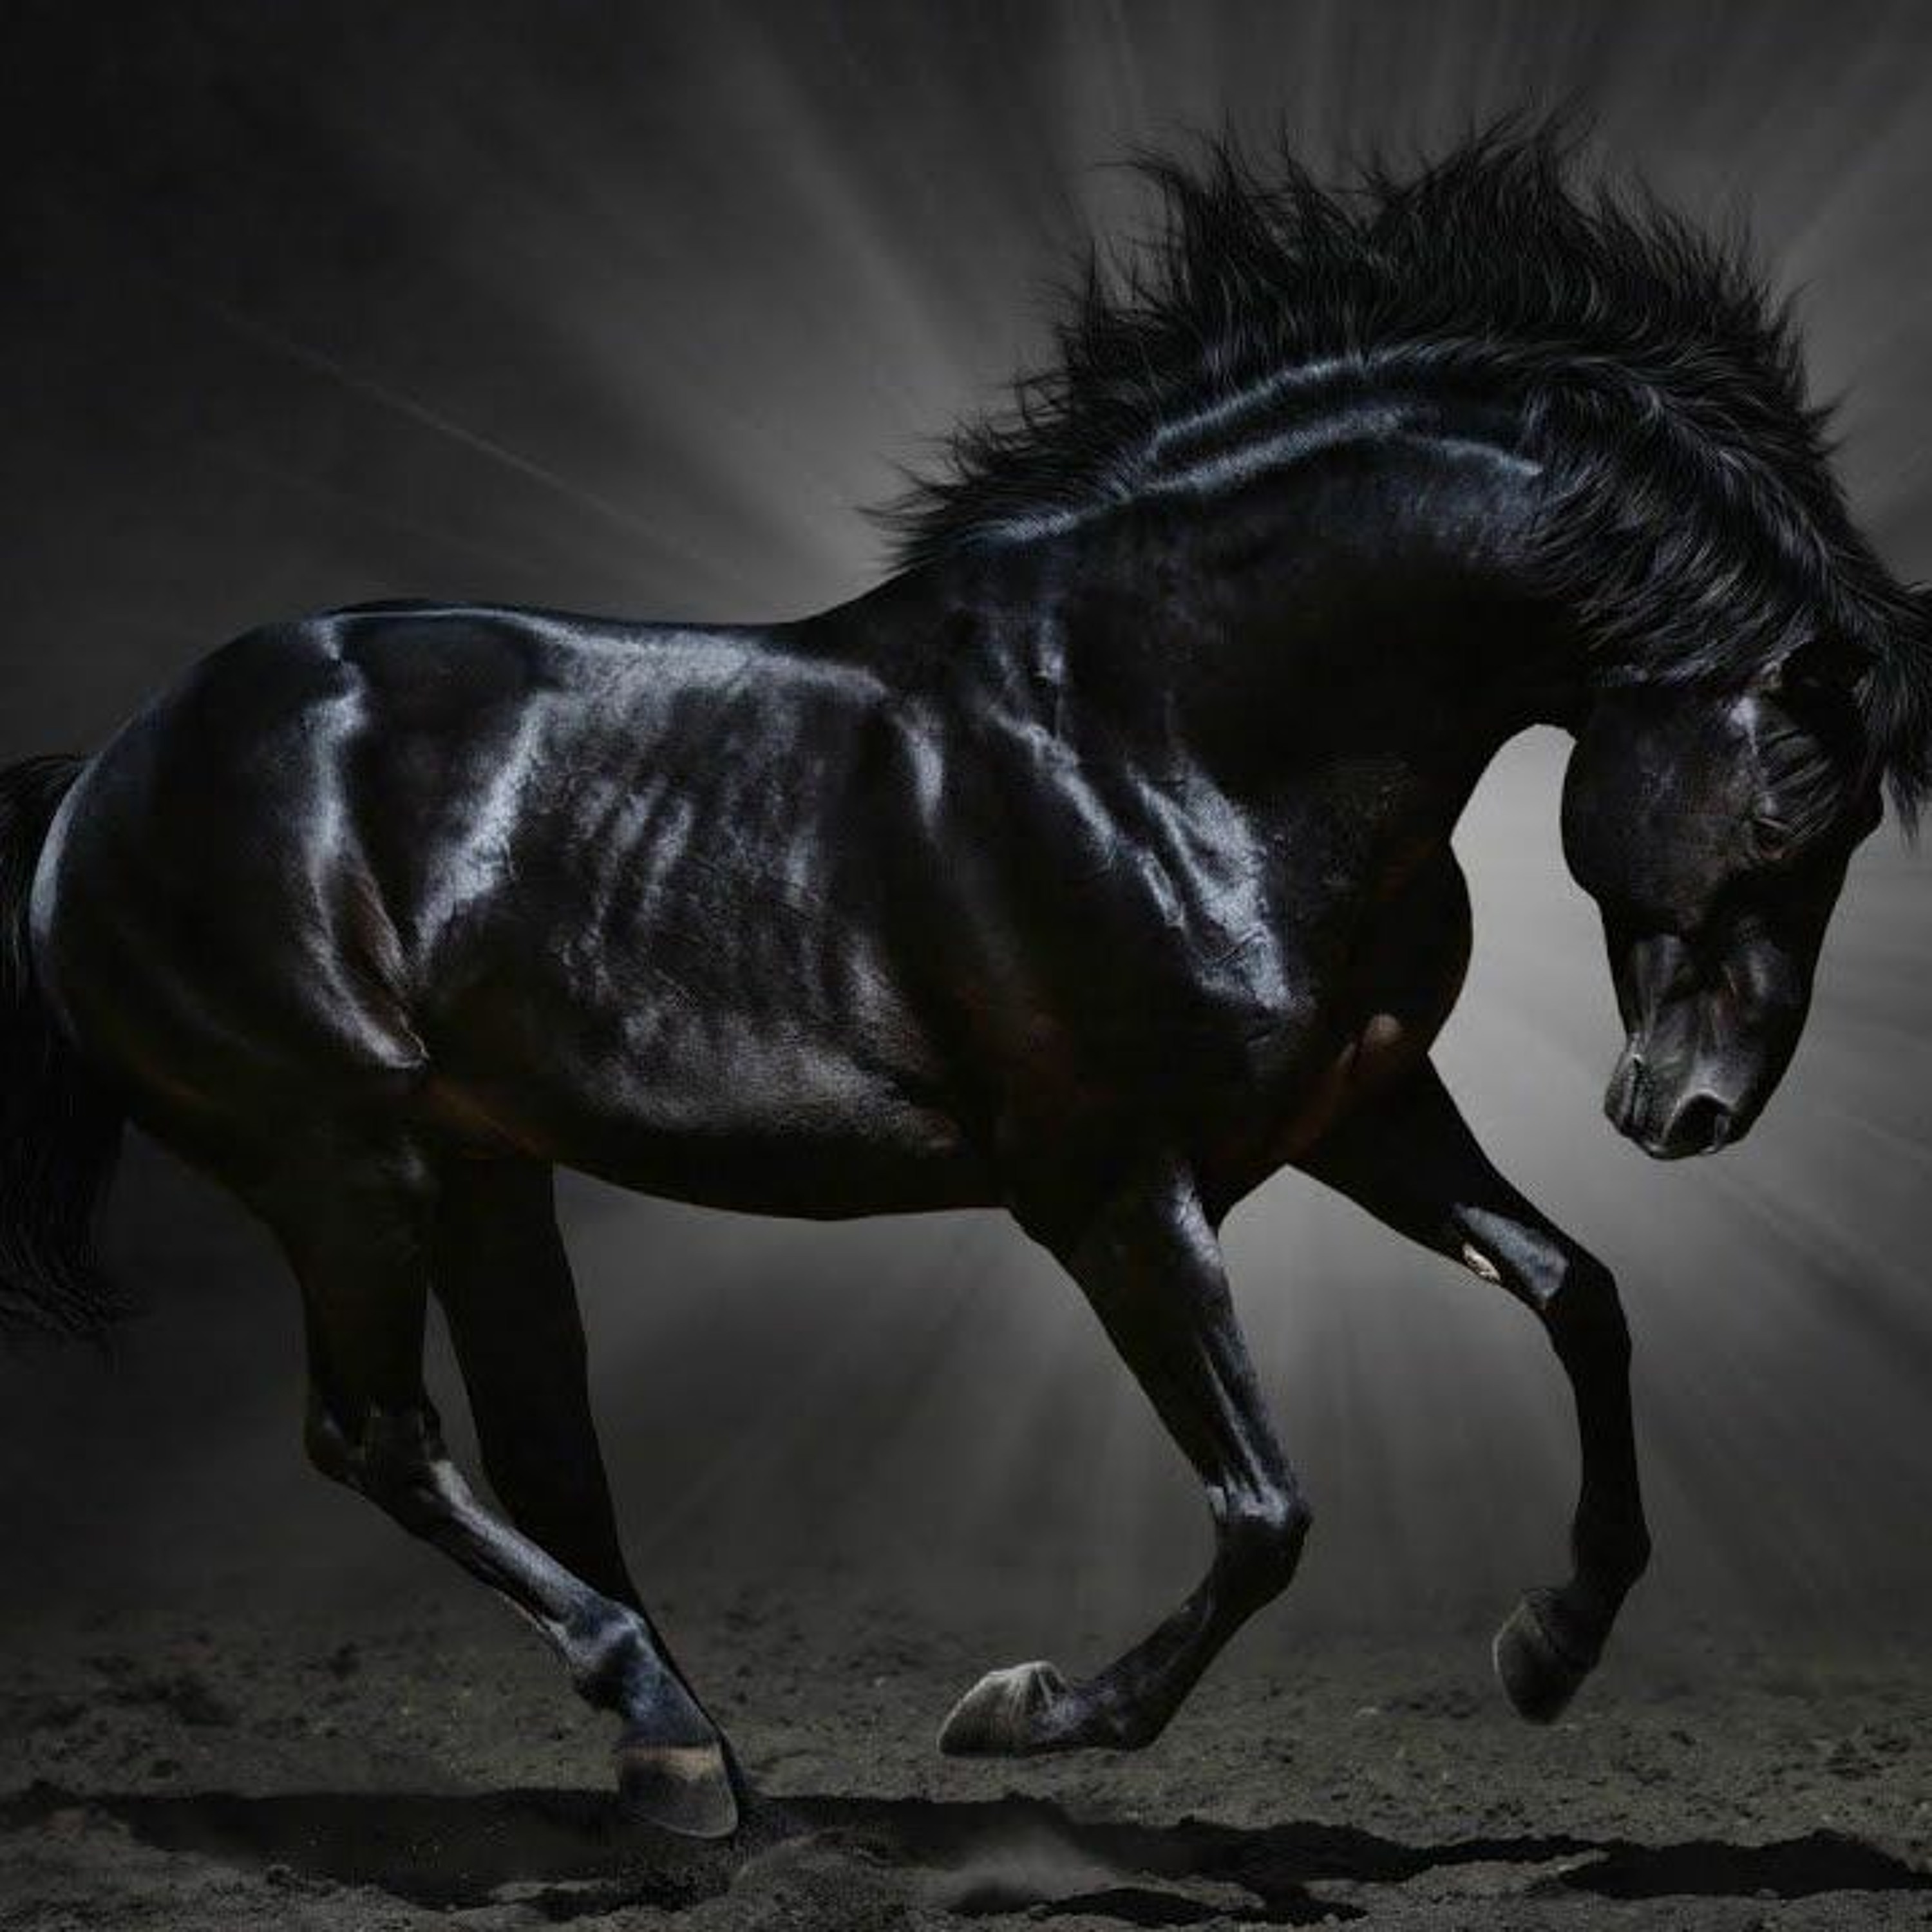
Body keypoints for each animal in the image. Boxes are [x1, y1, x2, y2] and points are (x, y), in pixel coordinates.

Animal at [2, 124, 1926, 1840]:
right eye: (1789, 810)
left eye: (1849, 835)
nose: (1689, 1110)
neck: (1167, 728)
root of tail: (104, 778)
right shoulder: (1109, 1189)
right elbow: (1264, 1510)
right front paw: (1020, 1712)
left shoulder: (1360, 1109)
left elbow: (1577, 1293)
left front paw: (1548, 1648)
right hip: (345, 1163)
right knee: (379, 1438)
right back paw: (674, 1745)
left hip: (480, 1169)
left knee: (540, 1450)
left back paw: (691, 1768)